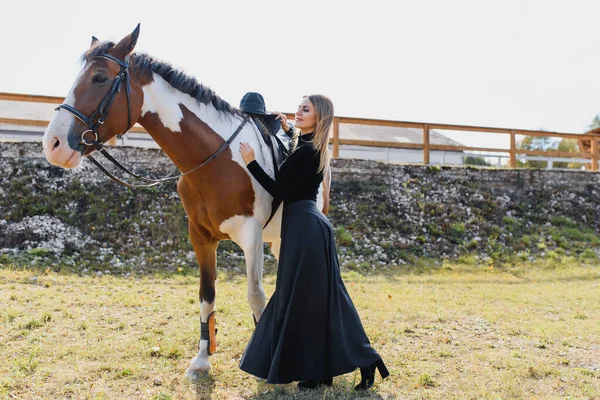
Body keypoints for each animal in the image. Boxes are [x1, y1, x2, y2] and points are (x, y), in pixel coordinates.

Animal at [42, 23, 330, 380]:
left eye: (99, 77)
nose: (53, 144)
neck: (217, 159)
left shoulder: (250, 237)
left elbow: (255, 295)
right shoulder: (201, 237)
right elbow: (207, 296)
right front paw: (203, 359)